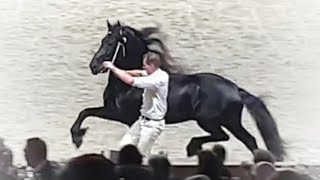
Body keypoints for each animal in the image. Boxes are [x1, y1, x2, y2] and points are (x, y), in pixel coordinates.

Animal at [71, 20, 286, 160]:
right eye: (102, 41)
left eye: (111, 43)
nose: (94, 66)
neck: (127, 85)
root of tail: (236, 88)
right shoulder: (113, 112)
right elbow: (85, 112)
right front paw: (79, 136)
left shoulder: (120, 115)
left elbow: (85, 112)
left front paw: (77, 138)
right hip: (228, 121)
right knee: (247, 139)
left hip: (210, 121)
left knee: (230, 137)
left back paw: (193, 147)